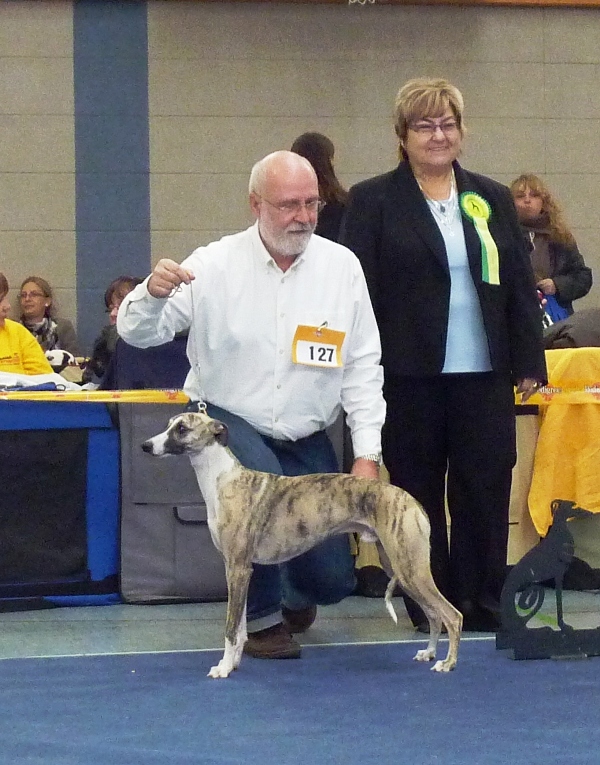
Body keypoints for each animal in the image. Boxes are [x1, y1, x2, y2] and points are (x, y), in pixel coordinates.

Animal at [143, 412, 462, 676]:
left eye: (182, 428)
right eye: (169, 424)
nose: (146, 446)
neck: (223, 479)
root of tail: (413, 502)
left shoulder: (237, 568)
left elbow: (232, 628)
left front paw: (223, 668)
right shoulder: (239, 568)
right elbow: (242, 626)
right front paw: (232, 663)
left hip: (410, 568)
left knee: (452, 615)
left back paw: (447, 663)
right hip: (401, 567)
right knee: (434, 614)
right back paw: (429, 653)